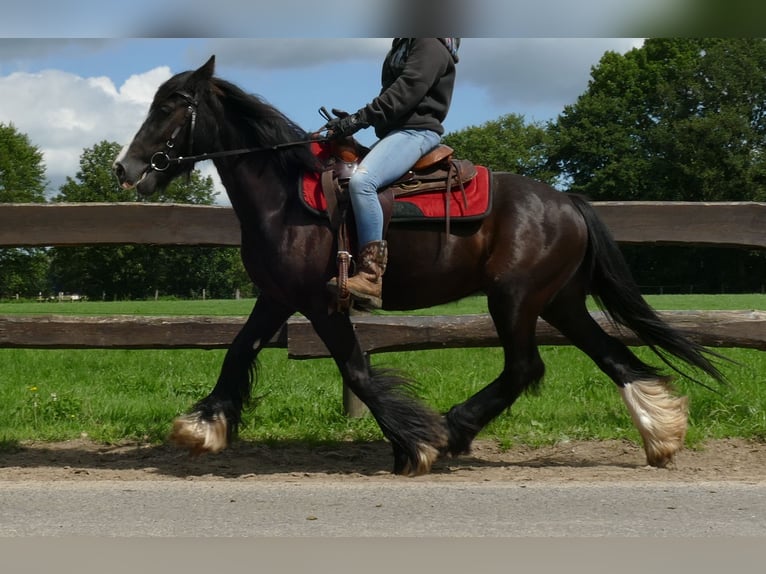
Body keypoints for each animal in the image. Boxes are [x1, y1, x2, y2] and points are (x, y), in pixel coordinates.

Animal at [114, 56, 728, 474]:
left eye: (169, 106)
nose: (126, 168)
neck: (285, 195)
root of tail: (567, 202)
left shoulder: (320, 303)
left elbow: (357, 371)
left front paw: (416, 443)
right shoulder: (277, 296)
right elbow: (238, 350)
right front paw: (201, 427)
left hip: (515, 299)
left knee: (525, 367)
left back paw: (454, 429)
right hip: (560, 301)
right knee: (611, 357)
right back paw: (662, 433)